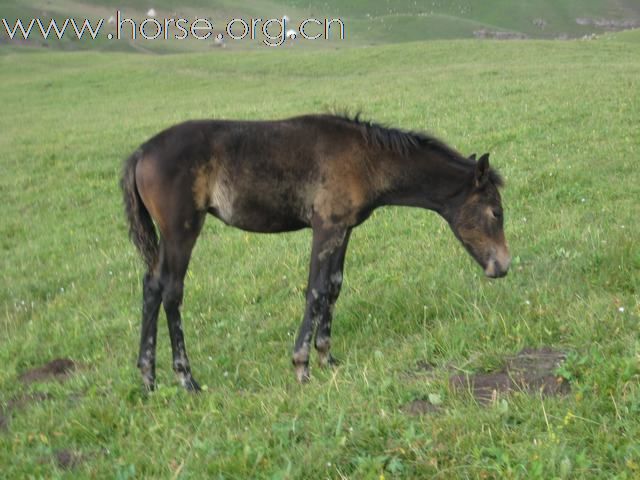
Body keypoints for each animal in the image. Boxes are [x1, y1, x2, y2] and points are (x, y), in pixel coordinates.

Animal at [120, 114, 510, 388]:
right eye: (496, 212)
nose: (503, 266)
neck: (366, 158)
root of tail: (140, 153)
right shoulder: (326, 227)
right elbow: (316, 289)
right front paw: (302, 365)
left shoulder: (343, 229)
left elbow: (334, 286)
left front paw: (327, 357)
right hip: (181, 230)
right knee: (170, 290)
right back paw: (186, 378)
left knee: (151, 286)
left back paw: (148, 377)